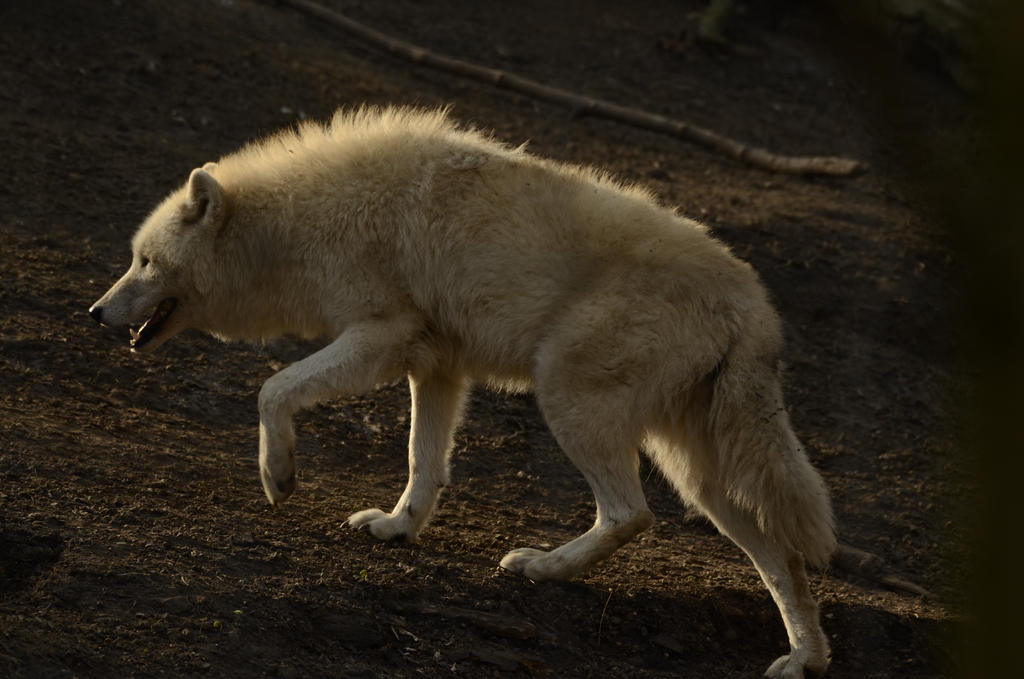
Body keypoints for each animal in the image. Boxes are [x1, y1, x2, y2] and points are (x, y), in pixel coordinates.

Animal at [89, 107, 835, 678]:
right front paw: (398, 528)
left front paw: (280, 476)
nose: (96, 313)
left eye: (145, 262)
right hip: (701, 478)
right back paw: (805, 658)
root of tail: (755, 306)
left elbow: (272, 390)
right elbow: (425, 462)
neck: (304, 219)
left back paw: (541, 567)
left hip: (568, 399)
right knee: (782, 558)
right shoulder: (436, 367)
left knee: (632, 516)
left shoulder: (381, 337)